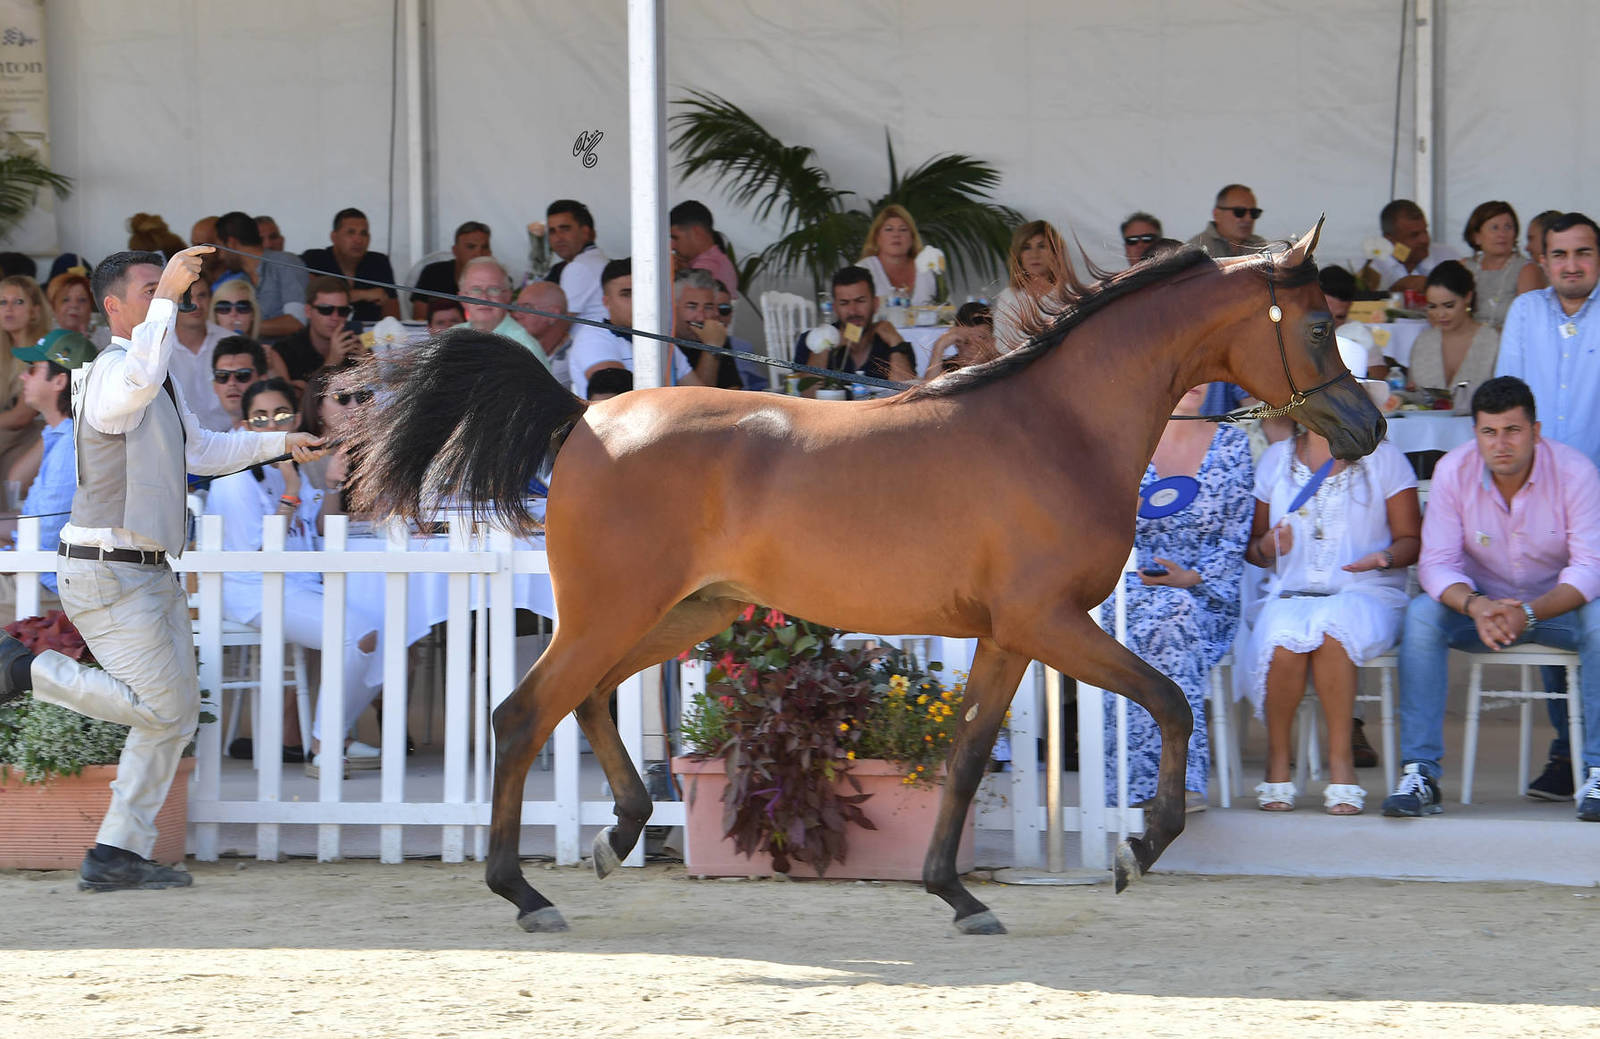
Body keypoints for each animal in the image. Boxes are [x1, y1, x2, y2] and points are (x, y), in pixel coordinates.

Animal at [347, 220, 1385, 935]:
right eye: (1320, 324)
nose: (1369, 427)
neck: (1058, 426)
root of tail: (586, 417)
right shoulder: (1051, 622)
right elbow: (1168, 703)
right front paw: (1138, 847)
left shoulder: (1009, 635)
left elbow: (965, 756)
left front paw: (958, 893)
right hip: (615, 608)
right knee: (524, 712)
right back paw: (524, 891)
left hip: (684, 611)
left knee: (589, 697)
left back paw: (617, 835)